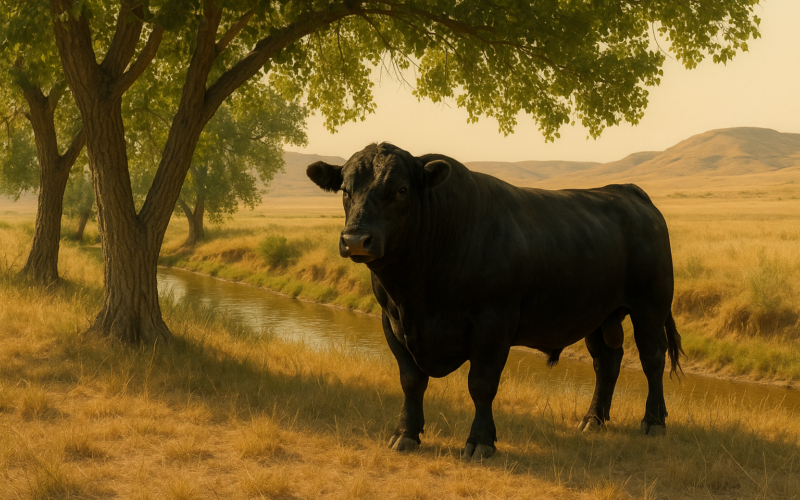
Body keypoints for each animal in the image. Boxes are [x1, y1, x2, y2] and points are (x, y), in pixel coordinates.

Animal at [307, 142, 684, 460]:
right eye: (345, 190)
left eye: (400, 190)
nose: (356, 239)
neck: (417, 292)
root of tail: (628, 192)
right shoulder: (393, 321)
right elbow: (411, 380)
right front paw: (406, 434)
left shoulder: (493, 323)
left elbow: (481, 385)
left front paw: (480, 442)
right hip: (599, 313)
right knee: (607, 362)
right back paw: (593, 419)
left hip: (650, 305)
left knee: (652, 358)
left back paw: (653, 421)